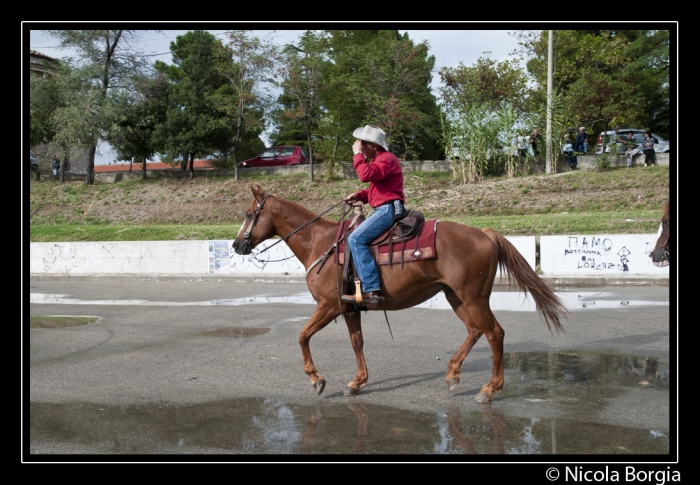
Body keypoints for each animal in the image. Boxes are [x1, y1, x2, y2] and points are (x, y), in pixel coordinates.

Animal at [232, 184, 568, 400]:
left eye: (249, 214)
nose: (236, 245)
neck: (320, 242)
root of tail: (484, 234)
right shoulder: (348, 307)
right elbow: (357, 342)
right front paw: (357, 382)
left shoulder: (327, 306)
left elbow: (302, 336)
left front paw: (317, 380)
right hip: (455, 296)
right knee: (475, 330)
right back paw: (453, 374)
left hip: (473, 297)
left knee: (494, 333)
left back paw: (490, 389)